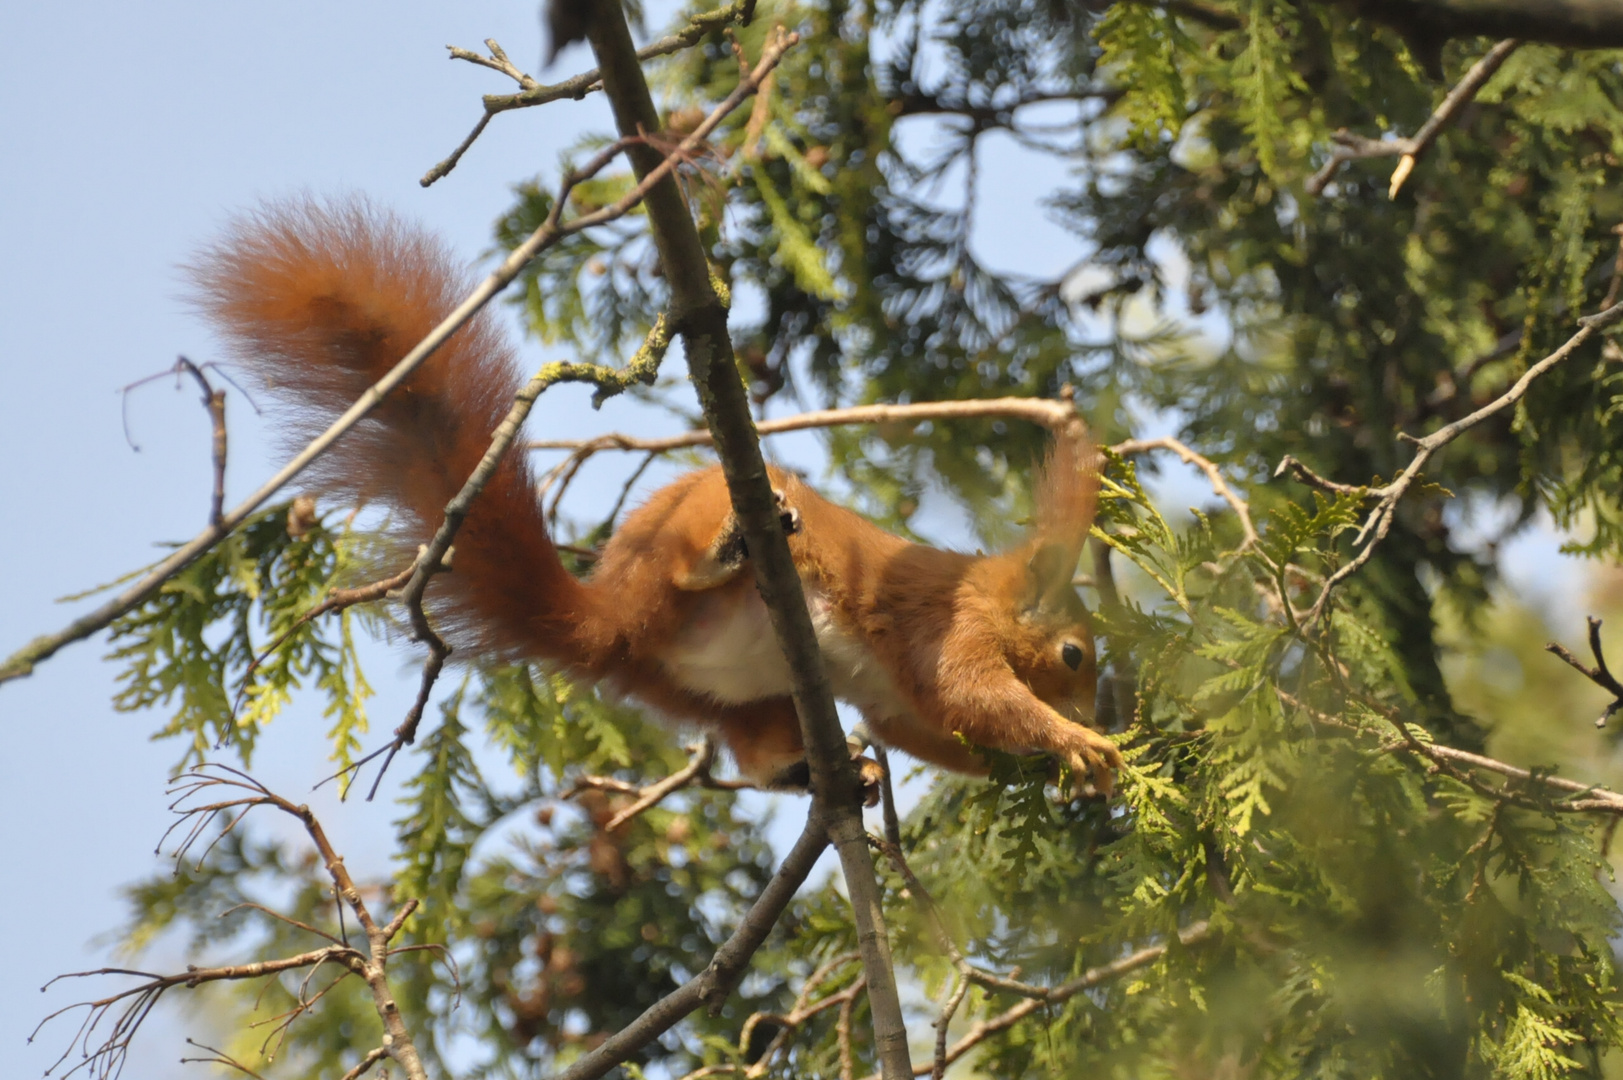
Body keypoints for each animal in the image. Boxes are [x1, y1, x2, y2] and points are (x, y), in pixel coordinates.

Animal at [189, 199, 1123, 792]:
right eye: (1075, 655)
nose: (1106, 714)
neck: (985, 596)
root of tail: (608, 619)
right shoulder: (946, 630)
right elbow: (971, 697)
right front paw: (1075, 744)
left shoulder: (898, 696)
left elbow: (932, 726)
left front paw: (1064, 766)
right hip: (687, 553)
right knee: (689, 574)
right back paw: (728, 553)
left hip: (723, 695)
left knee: (754, 749)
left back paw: (810, 772)